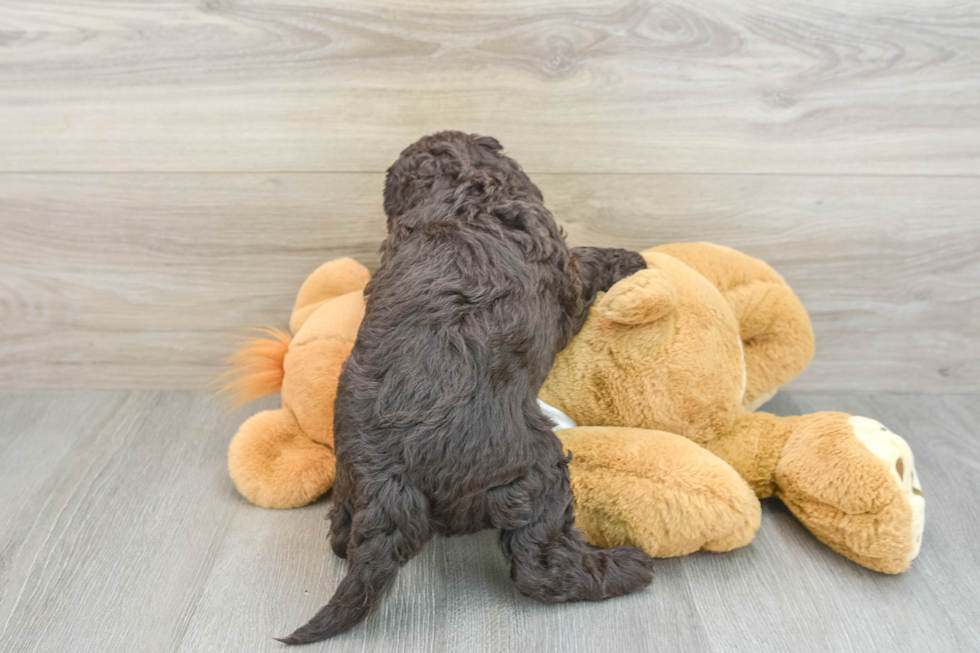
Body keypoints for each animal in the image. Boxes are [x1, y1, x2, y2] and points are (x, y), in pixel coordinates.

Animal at [280, 131, 656, 640]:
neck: (459, 191)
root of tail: (392, 482)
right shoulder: (566, 275)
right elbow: (587, 264)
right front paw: (630, 259)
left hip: (350, 477)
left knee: (342, 531)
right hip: (536, 474)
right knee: (540, 566)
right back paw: (624, 569)